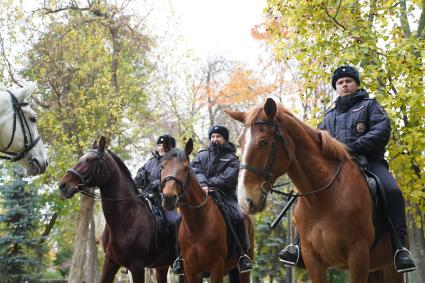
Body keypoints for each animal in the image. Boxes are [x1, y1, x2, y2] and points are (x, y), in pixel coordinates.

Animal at [58, 136, 174, 282]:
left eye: (91, 160)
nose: (63, 185)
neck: (126, 218)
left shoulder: (137, 266)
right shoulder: (111, 261)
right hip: (162, 267)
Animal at [158, 140, 252, 283]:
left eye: (186, 168)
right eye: (162, 166)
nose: (169, 198)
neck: (197, 224)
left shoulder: (217, 267)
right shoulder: (191, 271)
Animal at [225, 98, 400, 283]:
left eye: (264, 142)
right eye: (240, 143)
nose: (245, 201)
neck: (324, 199)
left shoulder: (358, 255)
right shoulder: (313, 260)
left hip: (390, 268)